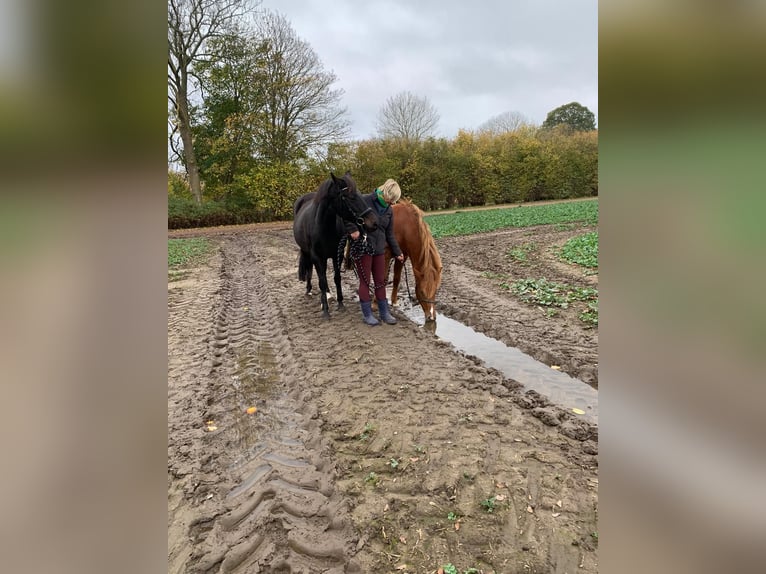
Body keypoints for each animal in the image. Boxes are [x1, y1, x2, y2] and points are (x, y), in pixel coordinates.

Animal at [294, 173, 378, 322]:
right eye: (350, 197)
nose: (373, 223)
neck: (324, 226)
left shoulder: (335, 254)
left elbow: (337, 278)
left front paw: (340, 303)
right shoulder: (317, 256)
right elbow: (321, 281)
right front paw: (326, 311)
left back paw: (327, 294)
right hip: (308, 253)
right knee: (311, 270)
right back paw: (310, 290)